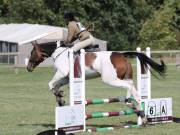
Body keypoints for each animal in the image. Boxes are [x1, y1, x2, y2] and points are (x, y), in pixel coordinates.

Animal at [26, 41, 166, 124]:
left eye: (32, 52)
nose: (28, 68)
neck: (59, 53)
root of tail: (122, 55)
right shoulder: (66, 77)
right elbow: (56, 87)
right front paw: (60, 99)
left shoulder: (61, 73)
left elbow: (50, 84)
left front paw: (60, 97)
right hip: (126, 77)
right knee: (134, 91)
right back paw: (141, 113)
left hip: (110, 79)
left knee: (128, 86)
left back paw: (129, 102)